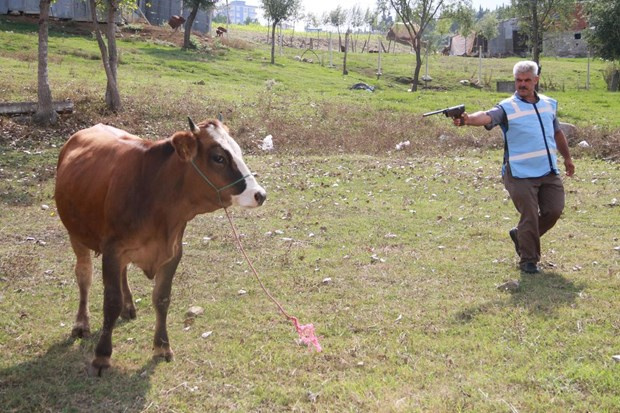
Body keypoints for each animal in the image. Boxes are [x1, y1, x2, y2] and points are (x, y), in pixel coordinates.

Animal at [54, 117, 266, 374]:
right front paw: (102, 356)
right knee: (84, 276)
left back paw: (129, 307)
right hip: (76, 235)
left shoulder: (172, 252)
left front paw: (162, 346)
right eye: (219, 158)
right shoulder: (112, 251)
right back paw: (81, 324)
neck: (156, 195)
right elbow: (110, 302)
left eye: (238, 151)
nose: (259, 194)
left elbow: (162, 299)